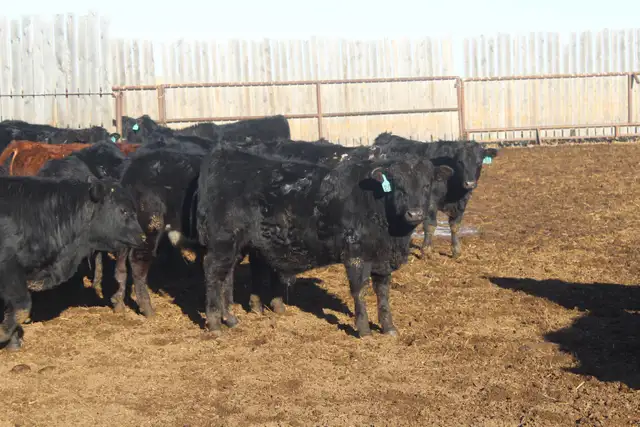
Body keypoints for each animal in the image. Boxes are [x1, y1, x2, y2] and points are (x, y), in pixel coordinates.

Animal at [168, 143, 453, 337]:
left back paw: (230, 318)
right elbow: (359, 291)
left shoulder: (382, 260)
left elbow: (383, 293)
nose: (415, 213)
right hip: (222, 242)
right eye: (397, 185)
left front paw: (389, 327)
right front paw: (363, 329)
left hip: (235, 245)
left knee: (226, 276)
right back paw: (215, 323)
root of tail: (223, 154)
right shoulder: (356, 255)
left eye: (427, 185)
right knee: (213, 273)